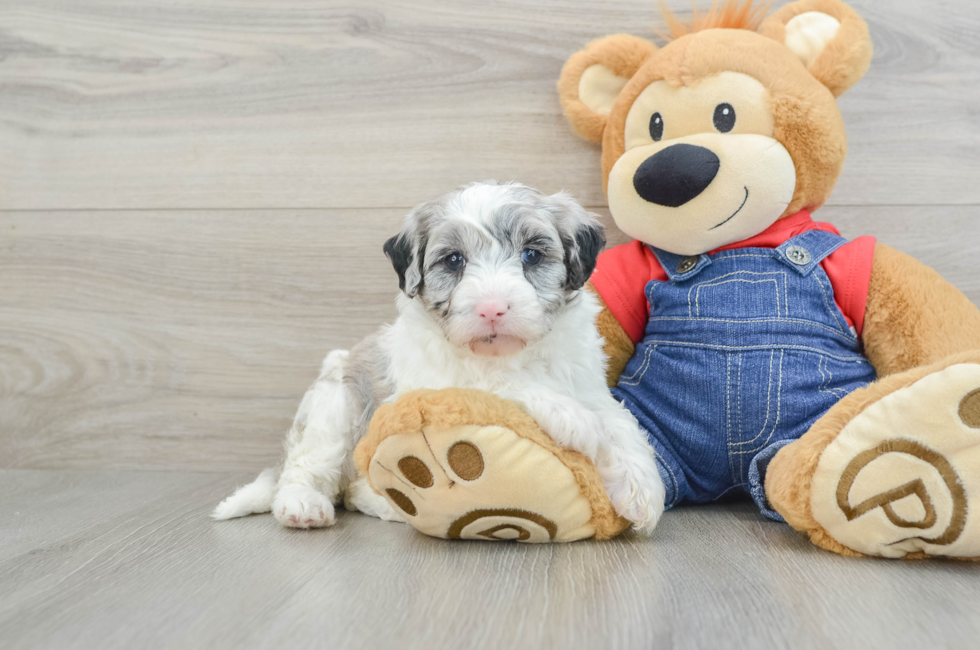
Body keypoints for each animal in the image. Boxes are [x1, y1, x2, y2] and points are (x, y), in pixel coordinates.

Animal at [214, 181, 668, 532]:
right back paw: (302, 505)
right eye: (454, 260)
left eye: (531, 255)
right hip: (336, 406)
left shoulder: (588, 383)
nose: (492, 309)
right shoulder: (439, 382)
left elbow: (620, 424)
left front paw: (642, 490)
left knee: (355, 489)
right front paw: (576, 421)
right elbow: (501, 384)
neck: (512, 354)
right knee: (311, 468)